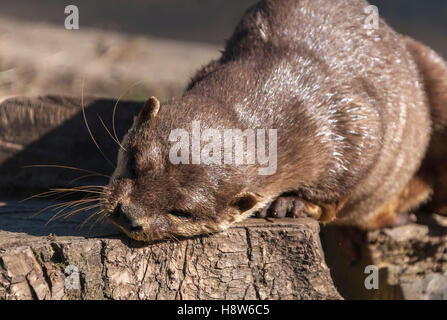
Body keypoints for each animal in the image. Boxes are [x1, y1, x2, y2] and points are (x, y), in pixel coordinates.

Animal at [100, 0, 447, 240]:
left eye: (182, 212)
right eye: (134, 164)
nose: (128, 215)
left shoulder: (357, 126)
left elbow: (342, 184)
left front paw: (293, 204)